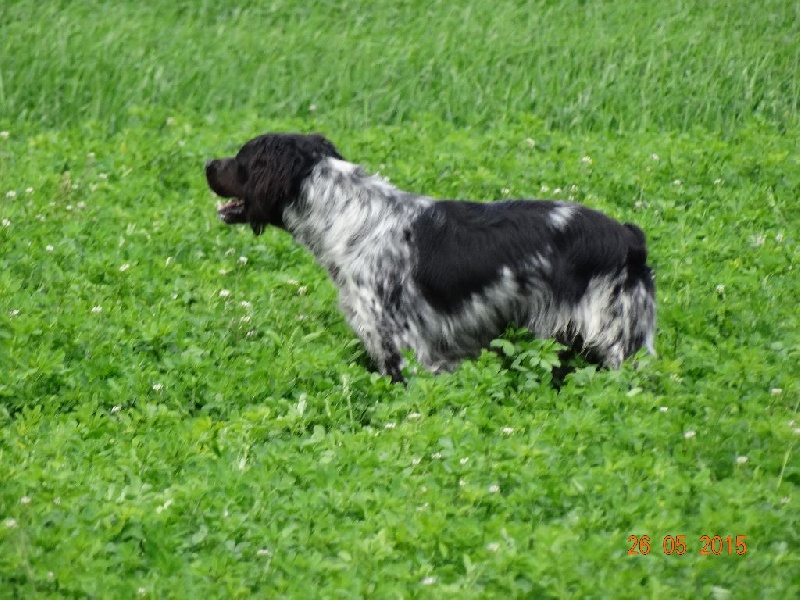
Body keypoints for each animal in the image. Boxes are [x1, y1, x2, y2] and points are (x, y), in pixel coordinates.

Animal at [206, 134, 656, 382]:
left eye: (241, 160)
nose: (207, 163)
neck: (348, 217)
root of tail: (629, 237)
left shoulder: (404, 346)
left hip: (618, 341)